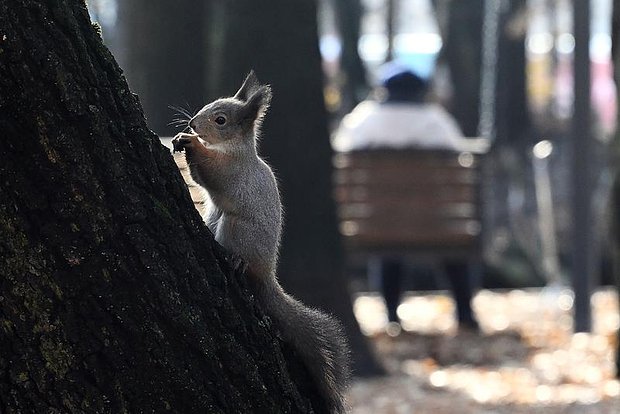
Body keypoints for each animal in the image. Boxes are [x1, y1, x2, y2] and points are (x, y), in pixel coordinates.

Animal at [172, 72, 352, 414]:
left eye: (220, 120)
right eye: (207, 105)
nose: (192, 124)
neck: (233, 150)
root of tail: (266, 272)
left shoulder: (231, 173)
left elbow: (210, 175)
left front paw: (192, 144)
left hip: (235, 229)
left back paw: (235, 260)